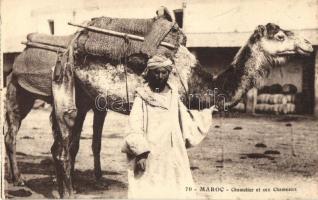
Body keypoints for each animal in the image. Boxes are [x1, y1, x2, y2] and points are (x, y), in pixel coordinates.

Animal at [4, 21, 314, 197]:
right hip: (55, 88)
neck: (198, 81)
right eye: (280, 36)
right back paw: (54, 190)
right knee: (46, 141)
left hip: (81, 96)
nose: (309, 44)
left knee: (65, 144)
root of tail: (69, 45)